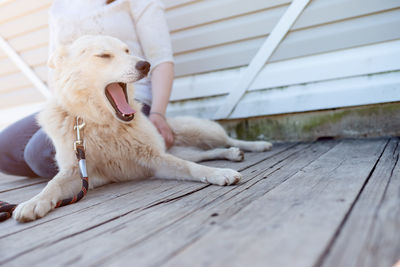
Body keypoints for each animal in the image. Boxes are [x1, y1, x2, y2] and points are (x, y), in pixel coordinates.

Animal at [12, 36, 272, 224]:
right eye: (104, 55)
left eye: (128, 51)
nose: (145, 64)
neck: (103, 124)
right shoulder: (81, 172)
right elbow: (52, 185)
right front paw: (33, 202)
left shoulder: (155, 158)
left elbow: (192, 168)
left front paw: (219, 174)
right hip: (183, 148)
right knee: (205, 153)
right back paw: (232, 154)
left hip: (201, 131)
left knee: (223, 141)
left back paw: (255, 145)